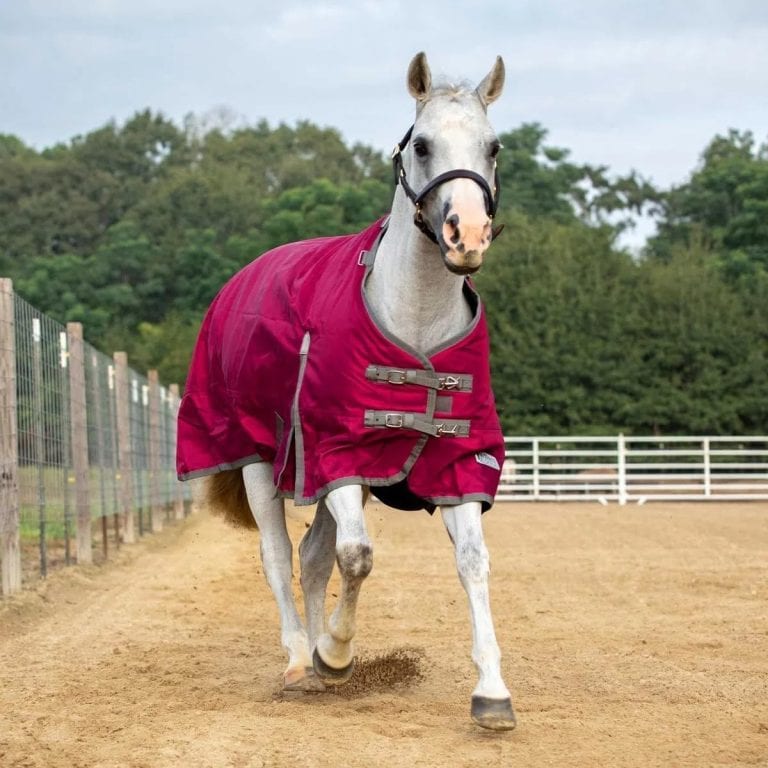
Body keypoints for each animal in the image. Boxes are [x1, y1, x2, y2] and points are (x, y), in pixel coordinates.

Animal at [177, 52, 516, 731]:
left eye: (492, 147)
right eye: (421, 144)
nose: (467, 235)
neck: (415, 321)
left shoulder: (455, 461)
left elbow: (472, 561)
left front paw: (492, 690)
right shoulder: (335, 452)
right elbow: (357, 556)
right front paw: (335, 652)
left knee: (311, 555)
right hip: (261, 462)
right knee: (279, 555)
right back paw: (299, 660)